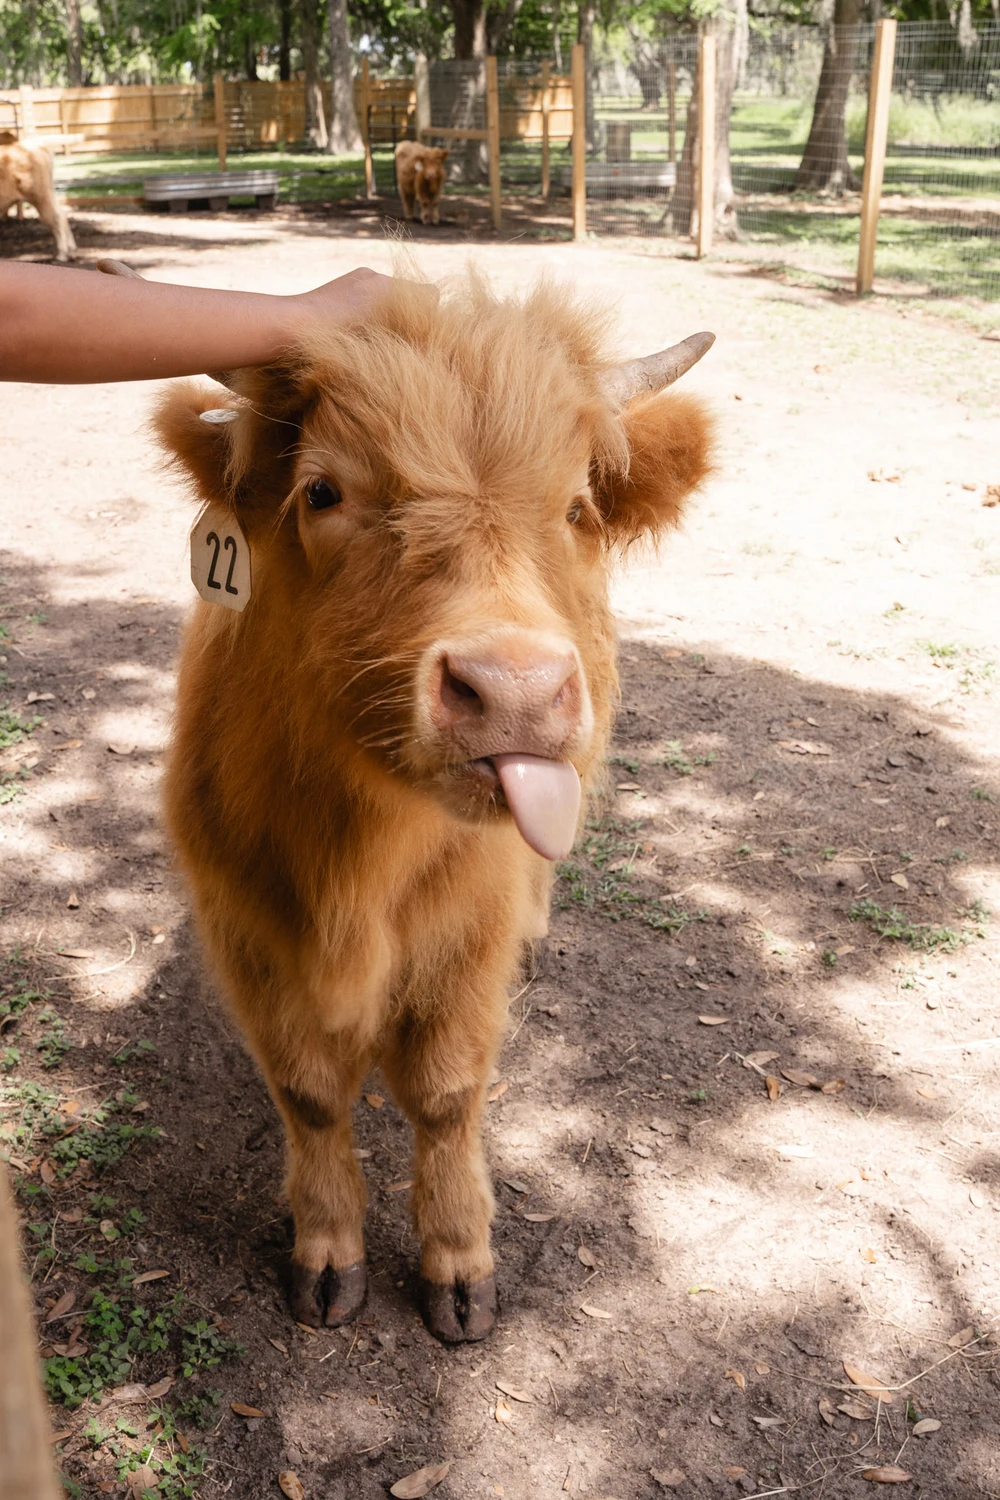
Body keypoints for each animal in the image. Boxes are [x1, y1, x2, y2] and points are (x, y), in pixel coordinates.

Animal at [0, 132, 76, 263]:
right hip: (48, 194)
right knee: (62, 214)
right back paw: (72, 252)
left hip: (40, 197)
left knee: (56, 218)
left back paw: (62, 254)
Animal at [150, 271, 714, 1343]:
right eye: (324, 491)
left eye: (577, 505)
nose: (516, 692)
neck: (362, 854)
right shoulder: (246, 923)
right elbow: (309, 1092)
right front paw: (327, 1250)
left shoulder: (469, 932)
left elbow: (448, 1094)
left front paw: (459, 1264)